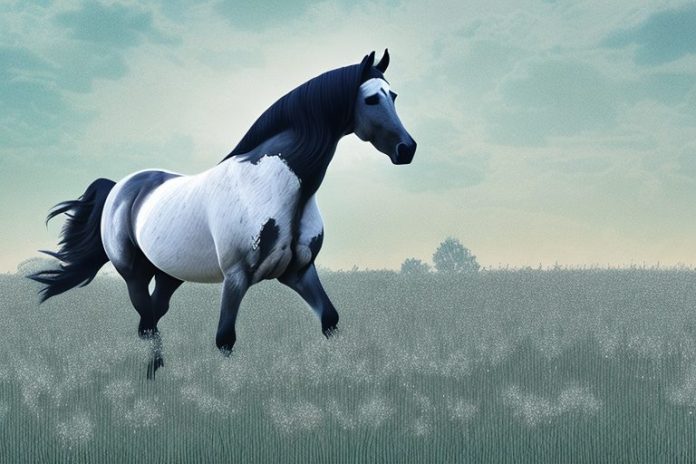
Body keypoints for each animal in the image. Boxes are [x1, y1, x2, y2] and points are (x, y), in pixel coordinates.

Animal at [28, 50, 416, 376]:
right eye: (371, 98)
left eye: (394, 96)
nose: (407, 149)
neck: (273, 186)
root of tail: (120, 187)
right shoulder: (236, 277)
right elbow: (225, 340)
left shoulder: (299, 271)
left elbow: (330, 320)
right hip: (134, 274)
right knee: (147, 323)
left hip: (169, 274)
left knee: (151, 318)